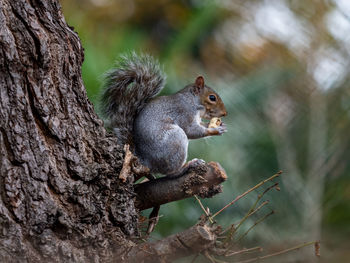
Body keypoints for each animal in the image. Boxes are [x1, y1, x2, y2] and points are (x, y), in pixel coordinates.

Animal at [100, 53, 228, 177]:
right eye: (212, 98)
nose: (225, 113)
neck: (192, 101)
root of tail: (145, 161)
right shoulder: (184, 113)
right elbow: (191, 130)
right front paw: (215, 130)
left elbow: (201, 125)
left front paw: (220, 125)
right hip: (175, 139)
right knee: (171, 173)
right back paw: (189, 165)